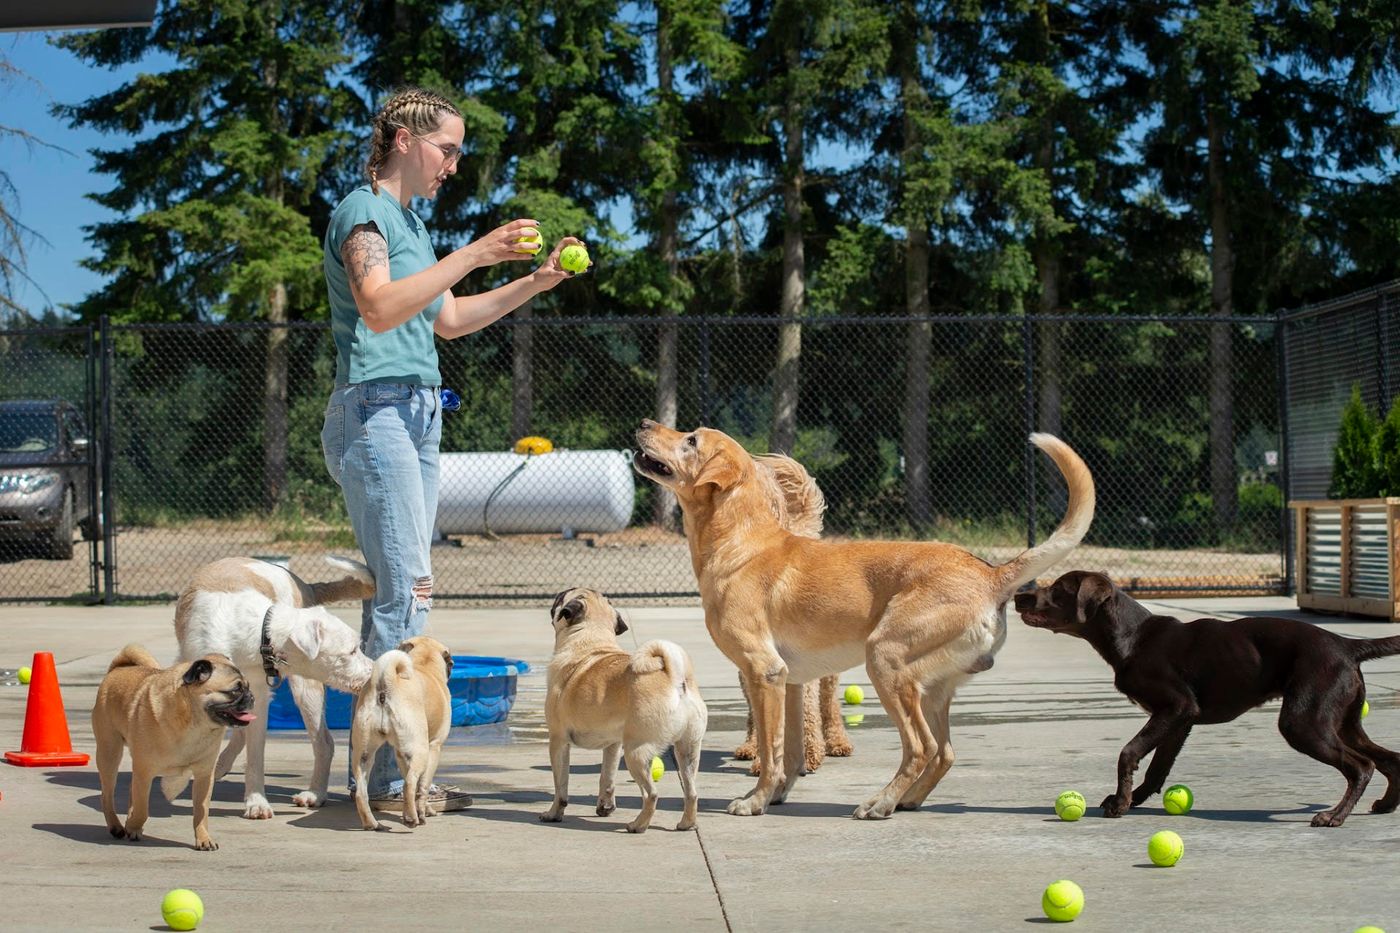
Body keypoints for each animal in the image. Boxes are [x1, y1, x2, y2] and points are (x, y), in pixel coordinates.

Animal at [91, 644, 256, 846]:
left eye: (248, 687)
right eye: (235, 690)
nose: (251, 696)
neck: (195, 724)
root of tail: (118, 668)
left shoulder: (204, 775)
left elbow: (201, 811)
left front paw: (203, 839)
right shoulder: (145, 772)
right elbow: (142, 809)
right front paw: (133, 825)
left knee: (130, 791)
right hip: (110, 753)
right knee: (107, 795)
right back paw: (117, 826)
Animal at [172, 554, 380, 818]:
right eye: (352, 651)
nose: (374, 671)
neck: (258, 633)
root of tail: (304, 586)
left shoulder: (258, 697)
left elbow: (255, 755)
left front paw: (256, 802)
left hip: (306, 689)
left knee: (324, 743)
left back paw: (315, 794)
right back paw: (221, 765)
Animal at [350, 633, 453, 829]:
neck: (425, 663)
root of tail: (387, 682)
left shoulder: (401, 754)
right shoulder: (434, 747)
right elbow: (423, 786)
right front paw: (423, 811)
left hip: (363, 754)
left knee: (361, 793)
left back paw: (371, 823)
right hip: (420, 750)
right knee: (410, 784)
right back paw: (413, 819)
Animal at [537, 585, 705, 829]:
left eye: (562, 597)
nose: (558, 593)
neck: (590, 638)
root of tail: (675, 679)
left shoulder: (558, 740)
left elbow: (561, 786)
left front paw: (553, 813)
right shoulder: (613, 745)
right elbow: (607, 777)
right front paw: (605, 807)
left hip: (636, 751)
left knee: (651, 794)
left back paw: (638, 825)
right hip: (687, 749)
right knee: (691, 792)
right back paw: (686, 824)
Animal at [635, 417, 1092, 818]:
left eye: (691, 440)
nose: (643, 423)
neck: (740, 542)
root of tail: (991, 573)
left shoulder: (763, 673)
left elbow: (770, 749)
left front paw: (755, 801)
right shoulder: (792, 682)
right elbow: (792, 750)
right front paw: (775, 794)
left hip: (885, 660)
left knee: (921, 748)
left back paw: (881, 803)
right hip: (930, 689)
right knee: (944, 752)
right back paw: (908, 799)